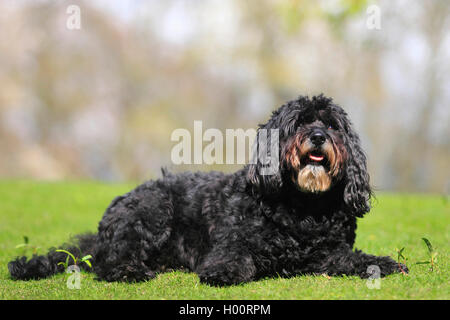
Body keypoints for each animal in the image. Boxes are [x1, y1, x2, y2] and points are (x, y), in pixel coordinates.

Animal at [7, 94, 408, 284]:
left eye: (333, 125)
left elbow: (354, 259)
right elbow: (236, 258)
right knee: (107, 264)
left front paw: (384, 263)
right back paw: (131, 271)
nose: (319, 136)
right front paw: (225, 273)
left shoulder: (329, 254)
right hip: (153, 211)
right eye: (298, 122)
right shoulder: (233, 243)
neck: (304, 208)